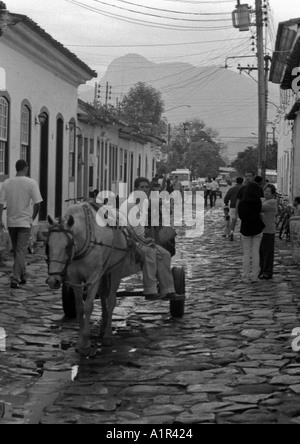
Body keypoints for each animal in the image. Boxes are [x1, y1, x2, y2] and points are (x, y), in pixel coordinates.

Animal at [47, 203, 130, 356]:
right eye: (48, 246)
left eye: (67, 246)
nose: (53, 281)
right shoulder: (75, 278)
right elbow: (80, 307)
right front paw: (81, 341)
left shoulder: (94, 276)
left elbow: (88, 306)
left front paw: (85, 343)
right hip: (105, 270)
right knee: (103, 294)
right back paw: (103, 326)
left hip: (116, 268)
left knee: (111, 299)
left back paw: (107, 335)